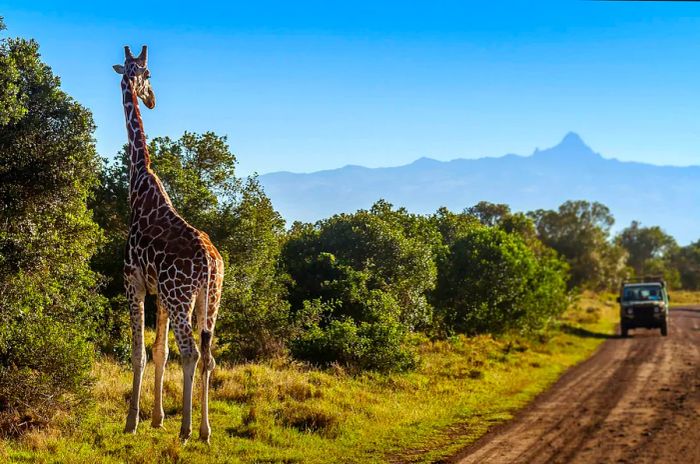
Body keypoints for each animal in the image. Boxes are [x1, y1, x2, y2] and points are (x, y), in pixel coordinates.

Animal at [113, 46, 224, 442]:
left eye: (148, 74)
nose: (151, 99)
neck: (139, 185)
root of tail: (209, 263)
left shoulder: (133, 281)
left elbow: (139, 353)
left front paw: (132, 422)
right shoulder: (158, 293)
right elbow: (159, 352)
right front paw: (157, 417)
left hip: (181, 297)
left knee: (190, 352)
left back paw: (187, 429)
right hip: (210, 300)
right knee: (208, 355)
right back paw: (205, 429)